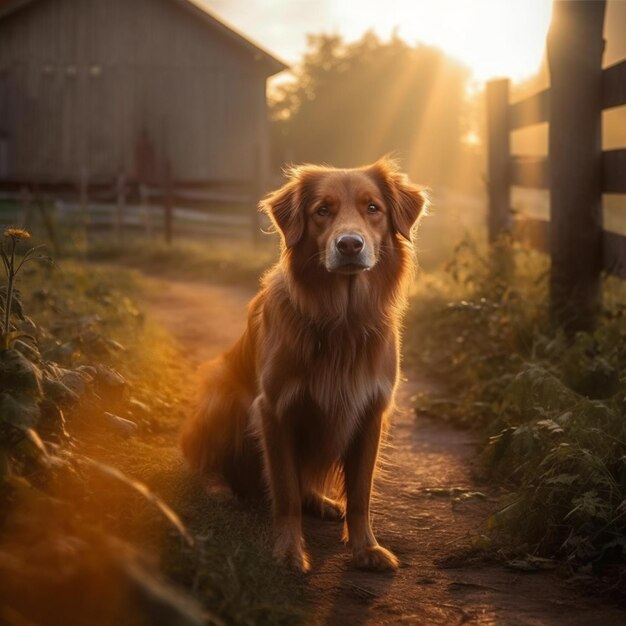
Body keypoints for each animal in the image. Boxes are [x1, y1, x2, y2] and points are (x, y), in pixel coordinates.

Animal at [180, 157, 424, 572]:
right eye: (322, 210)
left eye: (372, 208)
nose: (349, 244)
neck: (341, 320)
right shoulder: (274, 411)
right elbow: (286, 493)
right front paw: (289, 552)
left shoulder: (370, 412)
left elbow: (360, 494)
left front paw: (366, 548)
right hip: (219, 391)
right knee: (205, 459)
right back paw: (218, 487)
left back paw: (322, 502)